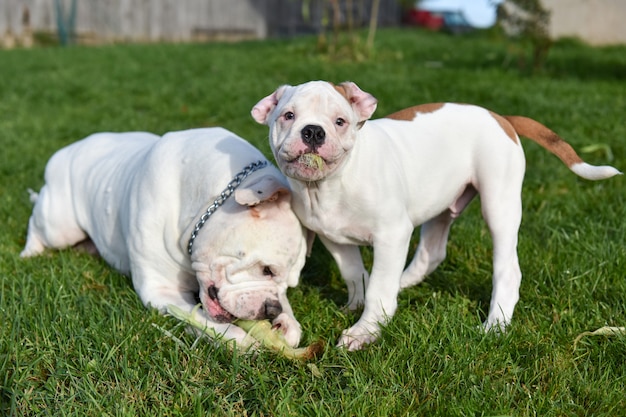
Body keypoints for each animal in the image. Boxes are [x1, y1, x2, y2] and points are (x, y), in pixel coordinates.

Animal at [22, 127, 308, 348]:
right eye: (267, 269)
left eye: (288, 285)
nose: (272, 309)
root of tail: (68, 149)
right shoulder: (162, 290)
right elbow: (206, 321)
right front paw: (240, 339)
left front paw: (287, 323)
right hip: (59, 226)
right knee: (37, 223)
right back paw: (30, 252)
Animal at [252, 80, 620, 348]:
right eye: (288, 116)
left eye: (340, 121)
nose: (314, 131)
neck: (329, 186)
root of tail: (501, 117)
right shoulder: (335, 238)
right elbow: (354, 273)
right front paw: (356, 305)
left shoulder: (392, 235)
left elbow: (378, 287)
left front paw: (365, 330)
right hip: (442, 203)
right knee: (433, 251)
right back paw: (404, 283)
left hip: (499, 204)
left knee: (507, 269)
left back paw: (495, 324)